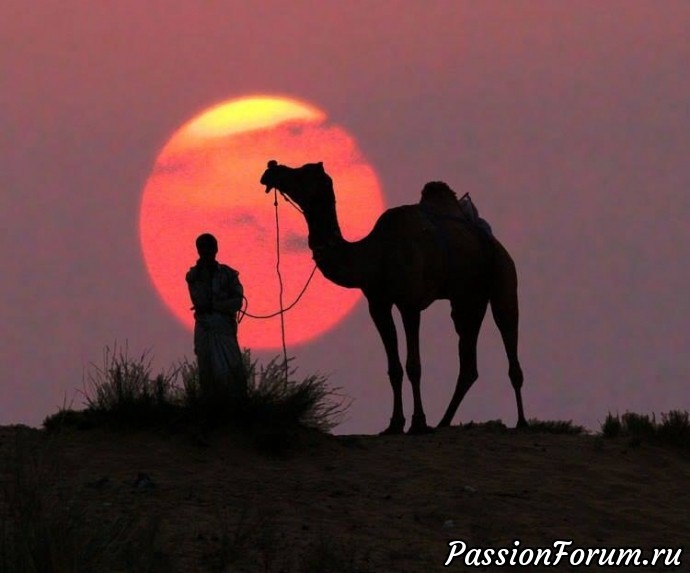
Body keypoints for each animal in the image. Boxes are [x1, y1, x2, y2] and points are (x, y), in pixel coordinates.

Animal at [260, 159, 528, 432]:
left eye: (302, 172)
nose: (271, 168)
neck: (375, 253)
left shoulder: (409, 303)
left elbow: (413, 365)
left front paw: (418, 423)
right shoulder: (378, 303)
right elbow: (394, 368)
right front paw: (395, 424)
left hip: (503, 277)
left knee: (508, 337)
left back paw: (521, 421)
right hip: (467, 300)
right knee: (468, 363)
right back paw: (443, 422)